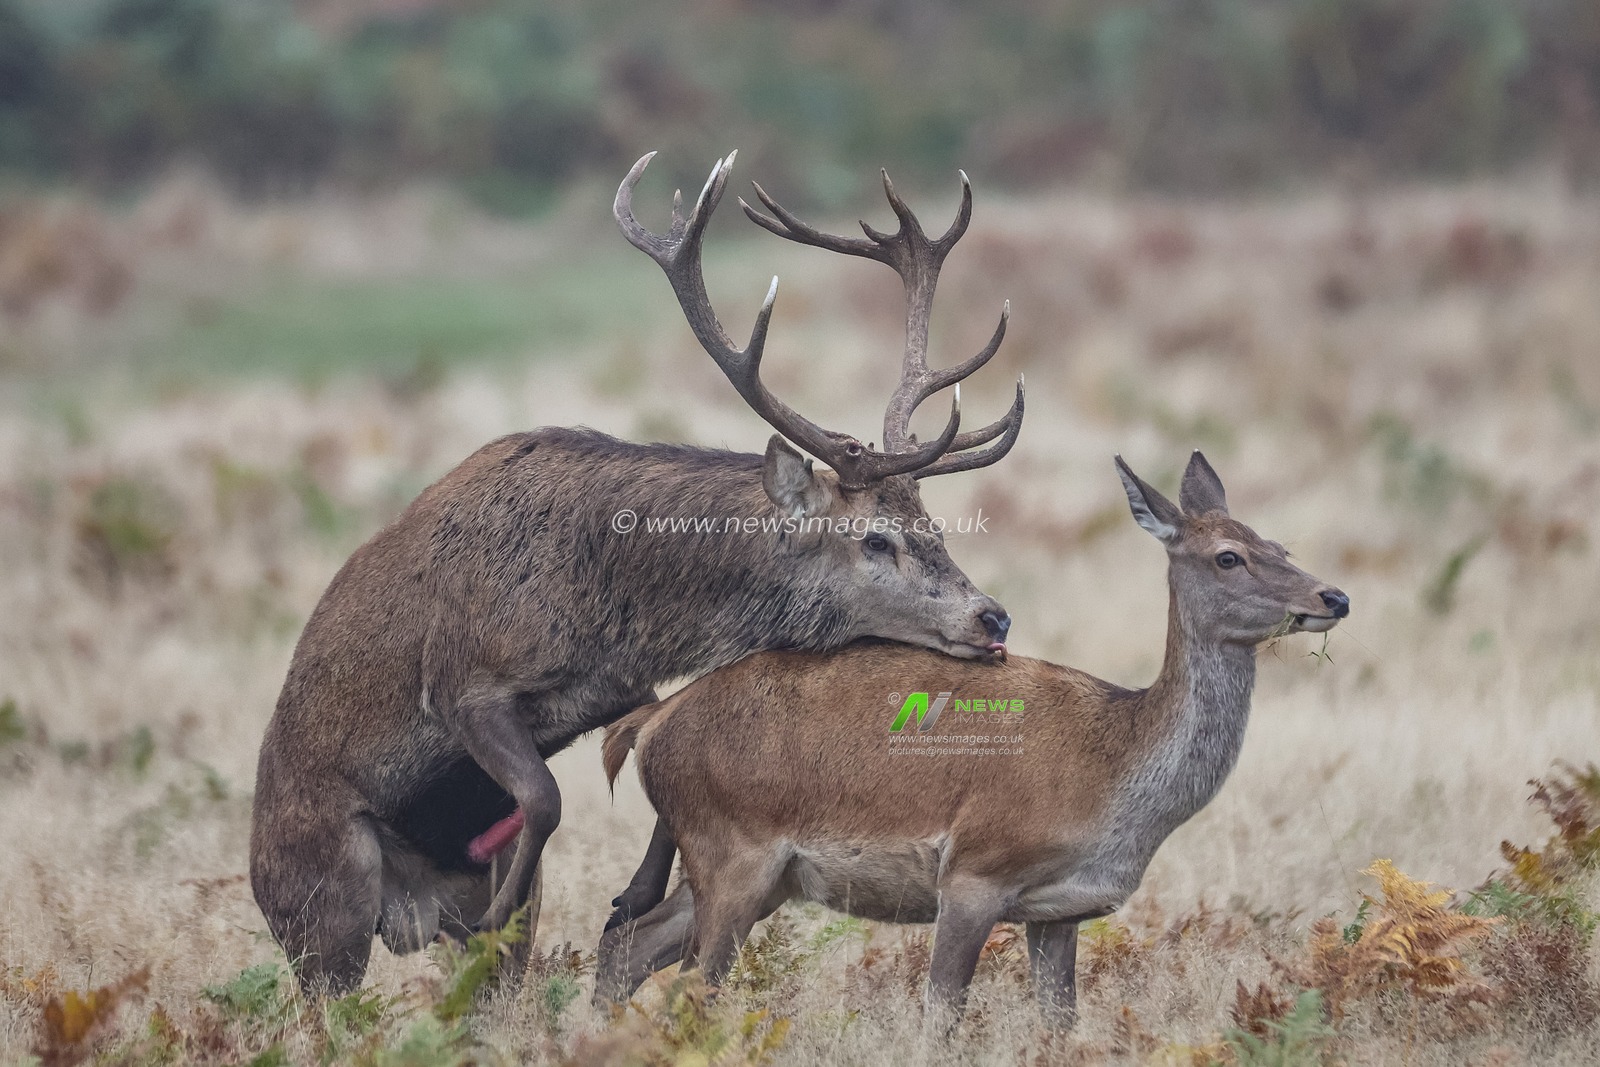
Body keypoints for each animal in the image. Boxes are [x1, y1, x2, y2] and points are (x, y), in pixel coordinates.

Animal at [249, 151, 1026, 995]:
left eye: (934, 523)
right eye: (877, 540)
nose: (991, 614)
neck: (606, 604)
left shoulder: (620, 683)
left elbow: (642, 745)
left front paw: (634, 889)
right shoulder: (462, 679)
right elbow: (547, 796)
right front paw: (552, 899)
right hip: (319, 905)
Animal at [594, 451, 1349, 1028]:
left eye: (1281, 546)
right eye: (1229, 557)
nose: (1334, 597)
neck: (1113, 777)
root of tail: (648, 723)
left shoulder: (1061, 910)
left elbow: (1060, 1026)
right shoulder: (973, 870)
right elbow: (942, 1015)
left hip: (745, 869)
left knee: (624, 944)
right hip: (730, 847)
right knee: (687, 985)